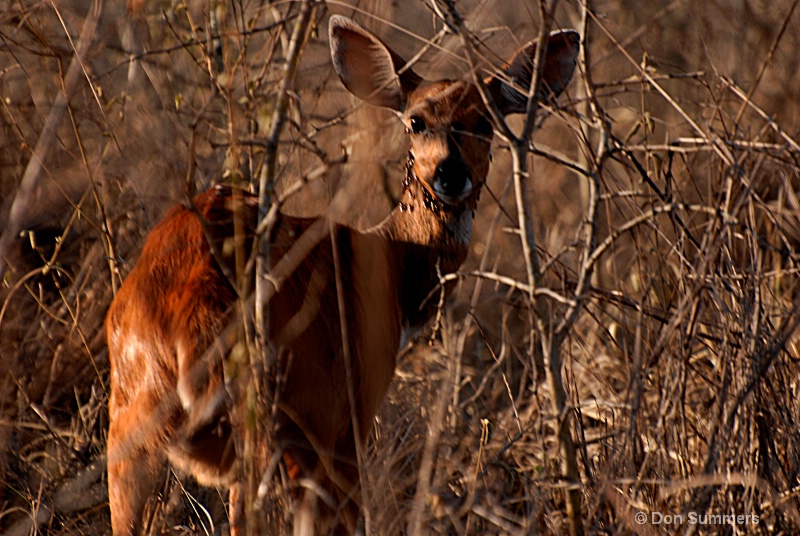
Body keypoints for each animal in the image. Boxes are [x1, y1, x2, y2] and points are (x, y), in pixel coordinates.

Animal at [106, 14, 580, 532]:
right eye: (416, 120)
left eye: (485, 121)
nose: (451, 175)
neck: (392, 262)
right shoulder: (348, 407)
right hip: (281, 415)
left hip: (131, 413)